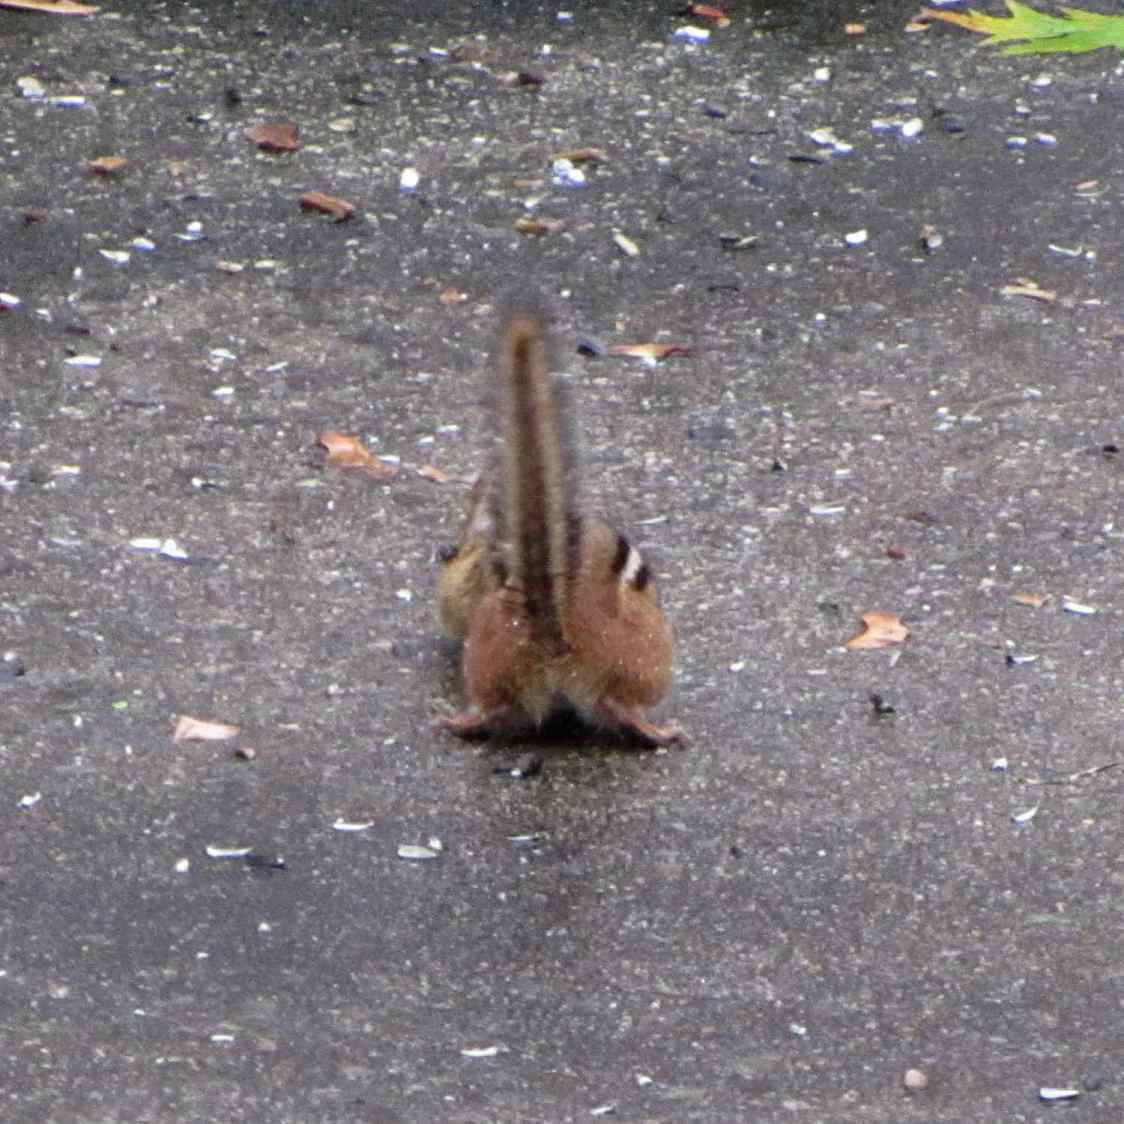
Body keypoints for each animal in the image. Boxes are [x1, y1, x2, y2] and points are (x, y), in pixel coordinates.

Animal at [436, 304, 685, 748]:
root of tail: (548, 622)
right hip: (649, 655)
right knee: (623, 704)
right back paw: (660, 732)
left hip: (490, 654)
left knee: (491, 706)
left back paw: (457, 722)